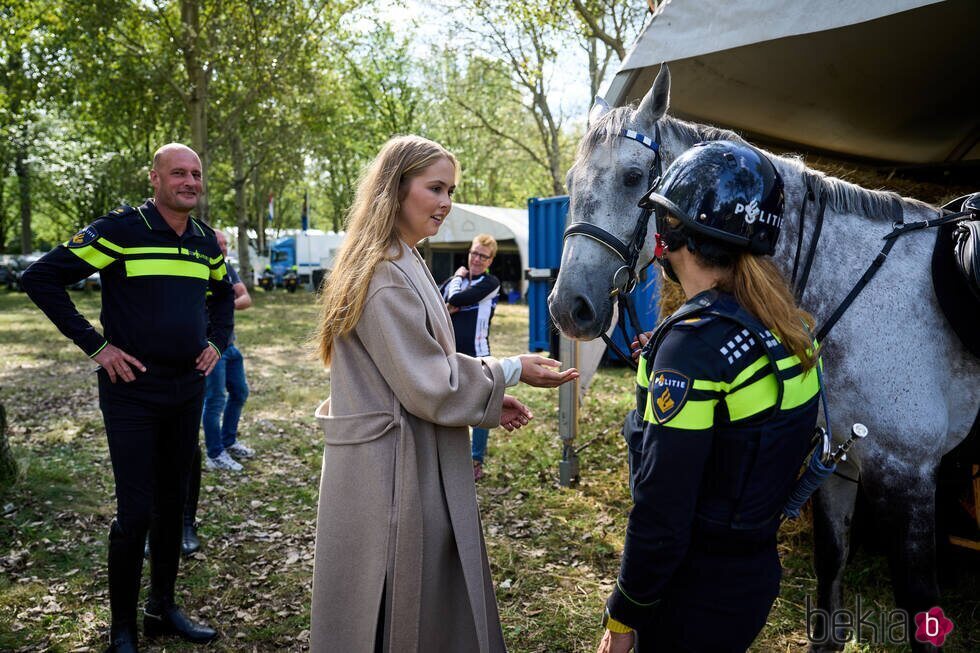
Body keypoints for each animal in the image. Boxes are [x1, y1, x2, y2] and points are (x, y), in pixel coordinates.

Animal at [552, 65, 980, 648]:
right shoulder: (839, 462)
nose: (568, 307)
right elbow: (831, 568)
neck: (863, 293)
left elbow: (920, 608)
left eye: (634, 177)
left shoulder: (908, 476)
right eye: (572, 183)